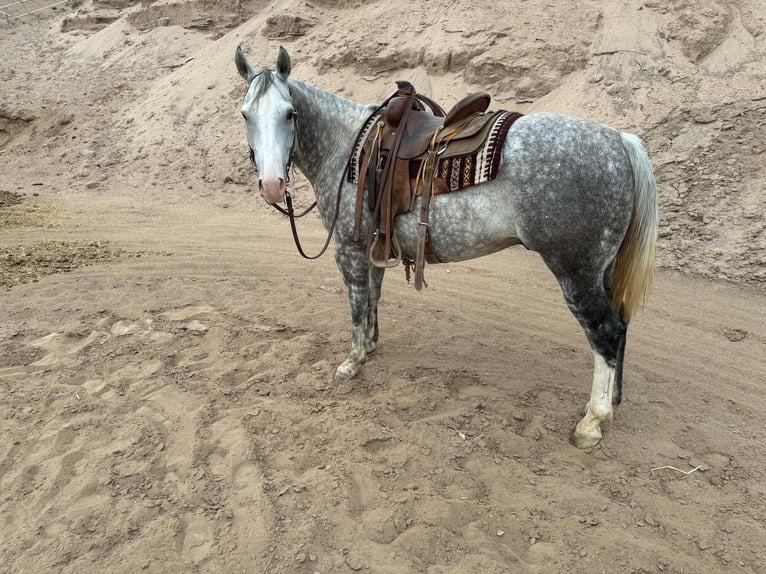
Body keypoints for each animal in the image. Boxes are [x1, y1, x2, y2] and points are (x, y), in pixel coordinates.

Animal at [234, 47, 658, 449]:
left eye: (290, 113)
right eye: (245, 115)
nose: (272, 185)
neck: (347, 147)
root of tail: (619, 141)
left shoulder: (348, 247)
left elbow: (356, 302)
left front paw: (352, 362)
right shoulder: (374, 244)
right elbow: (373, 296)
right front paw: (370, 344)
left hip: (575, 271)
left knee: (605, 332)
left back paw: (592, 421)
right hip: (601, 269)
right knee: (620, 324)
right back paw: (613, 400)